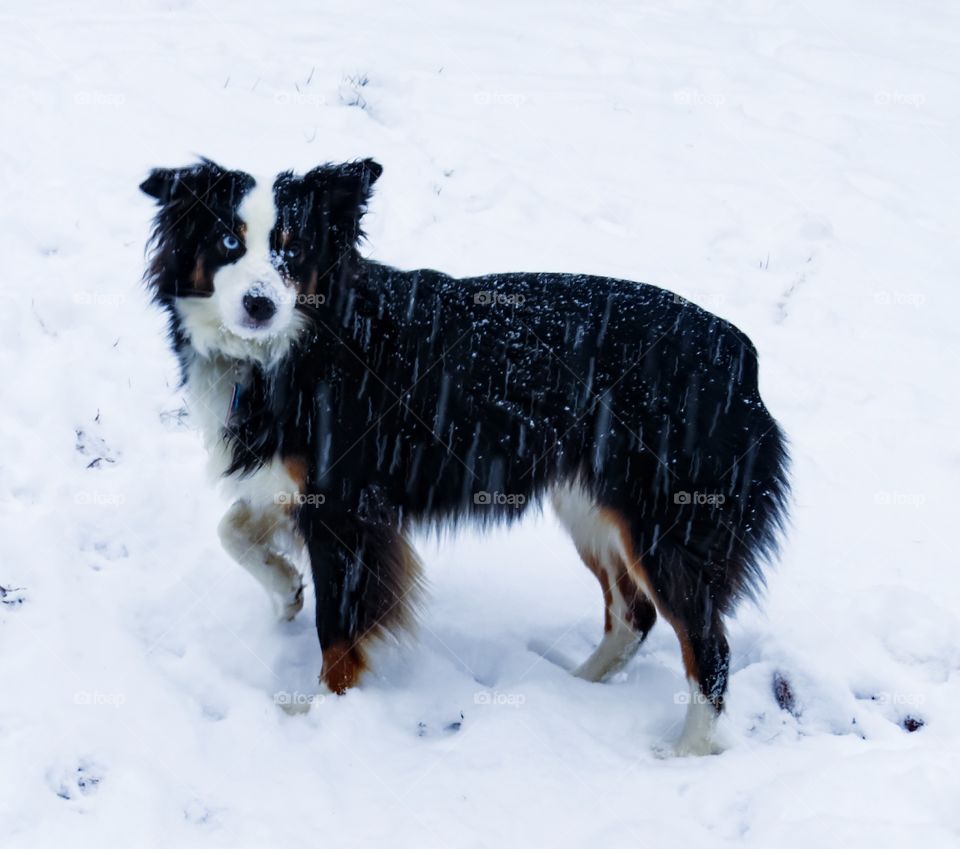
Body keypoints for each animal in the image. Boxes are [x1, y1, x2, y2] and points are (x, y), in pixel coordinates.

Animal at [141, 159, 788, 756]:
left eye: (293, 247)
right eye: (229, 242)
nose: (259, 305)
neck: (302, 340)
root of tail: (740, 349)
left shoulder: (346, 506)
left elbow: (339, 626)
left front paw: (324, 709)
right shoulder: (294, 482)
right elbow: (232, 530)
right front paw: (284, 591)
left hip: (663, 519)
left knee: (707, 644)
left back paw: (688, 749)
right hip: (591, 505)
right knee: (634, 615)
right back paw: (576, 686)